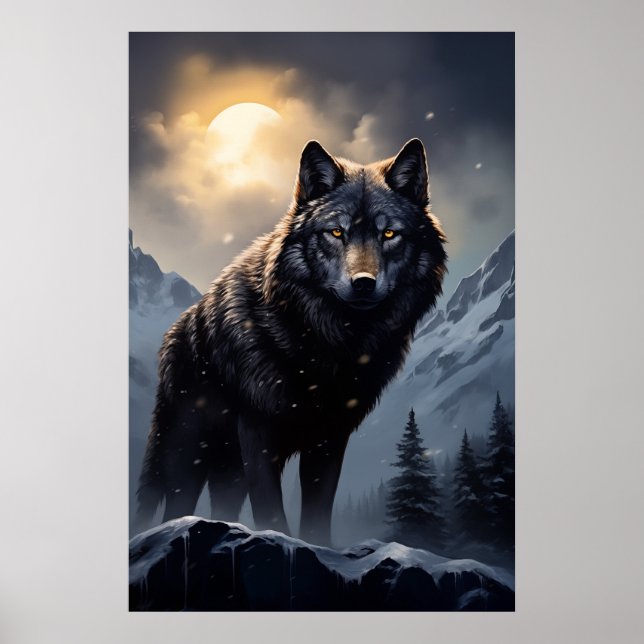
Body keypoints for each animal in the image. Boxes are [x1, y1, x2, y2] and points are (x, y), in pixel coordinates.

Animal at [135, 138, 447, 545]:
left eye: (389, 234)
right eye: (336, 232)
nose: (363, 283)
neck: (325, 347)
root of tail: (177, 330)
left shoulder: (330, 437)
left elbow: (318, 511)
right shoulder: (259, 432)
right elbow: (271, 509)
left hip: (227, 468)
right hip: (188, 452)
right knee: (175, 503)